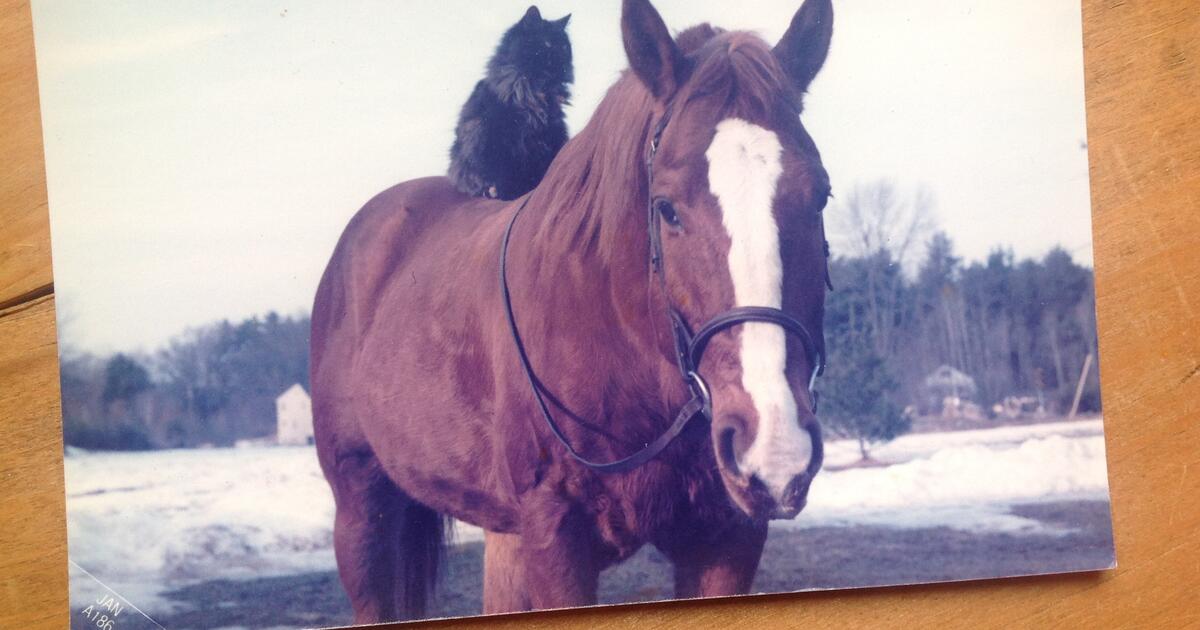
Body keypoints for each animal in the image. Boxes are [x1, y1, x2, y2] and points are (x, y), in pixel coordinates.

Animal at [311, 0, 834, 622]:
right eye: (666, 208)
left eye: (820, 195)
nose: (775, 446)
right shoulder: (556, 538)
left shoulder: (726, 540)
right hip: (362, 513)